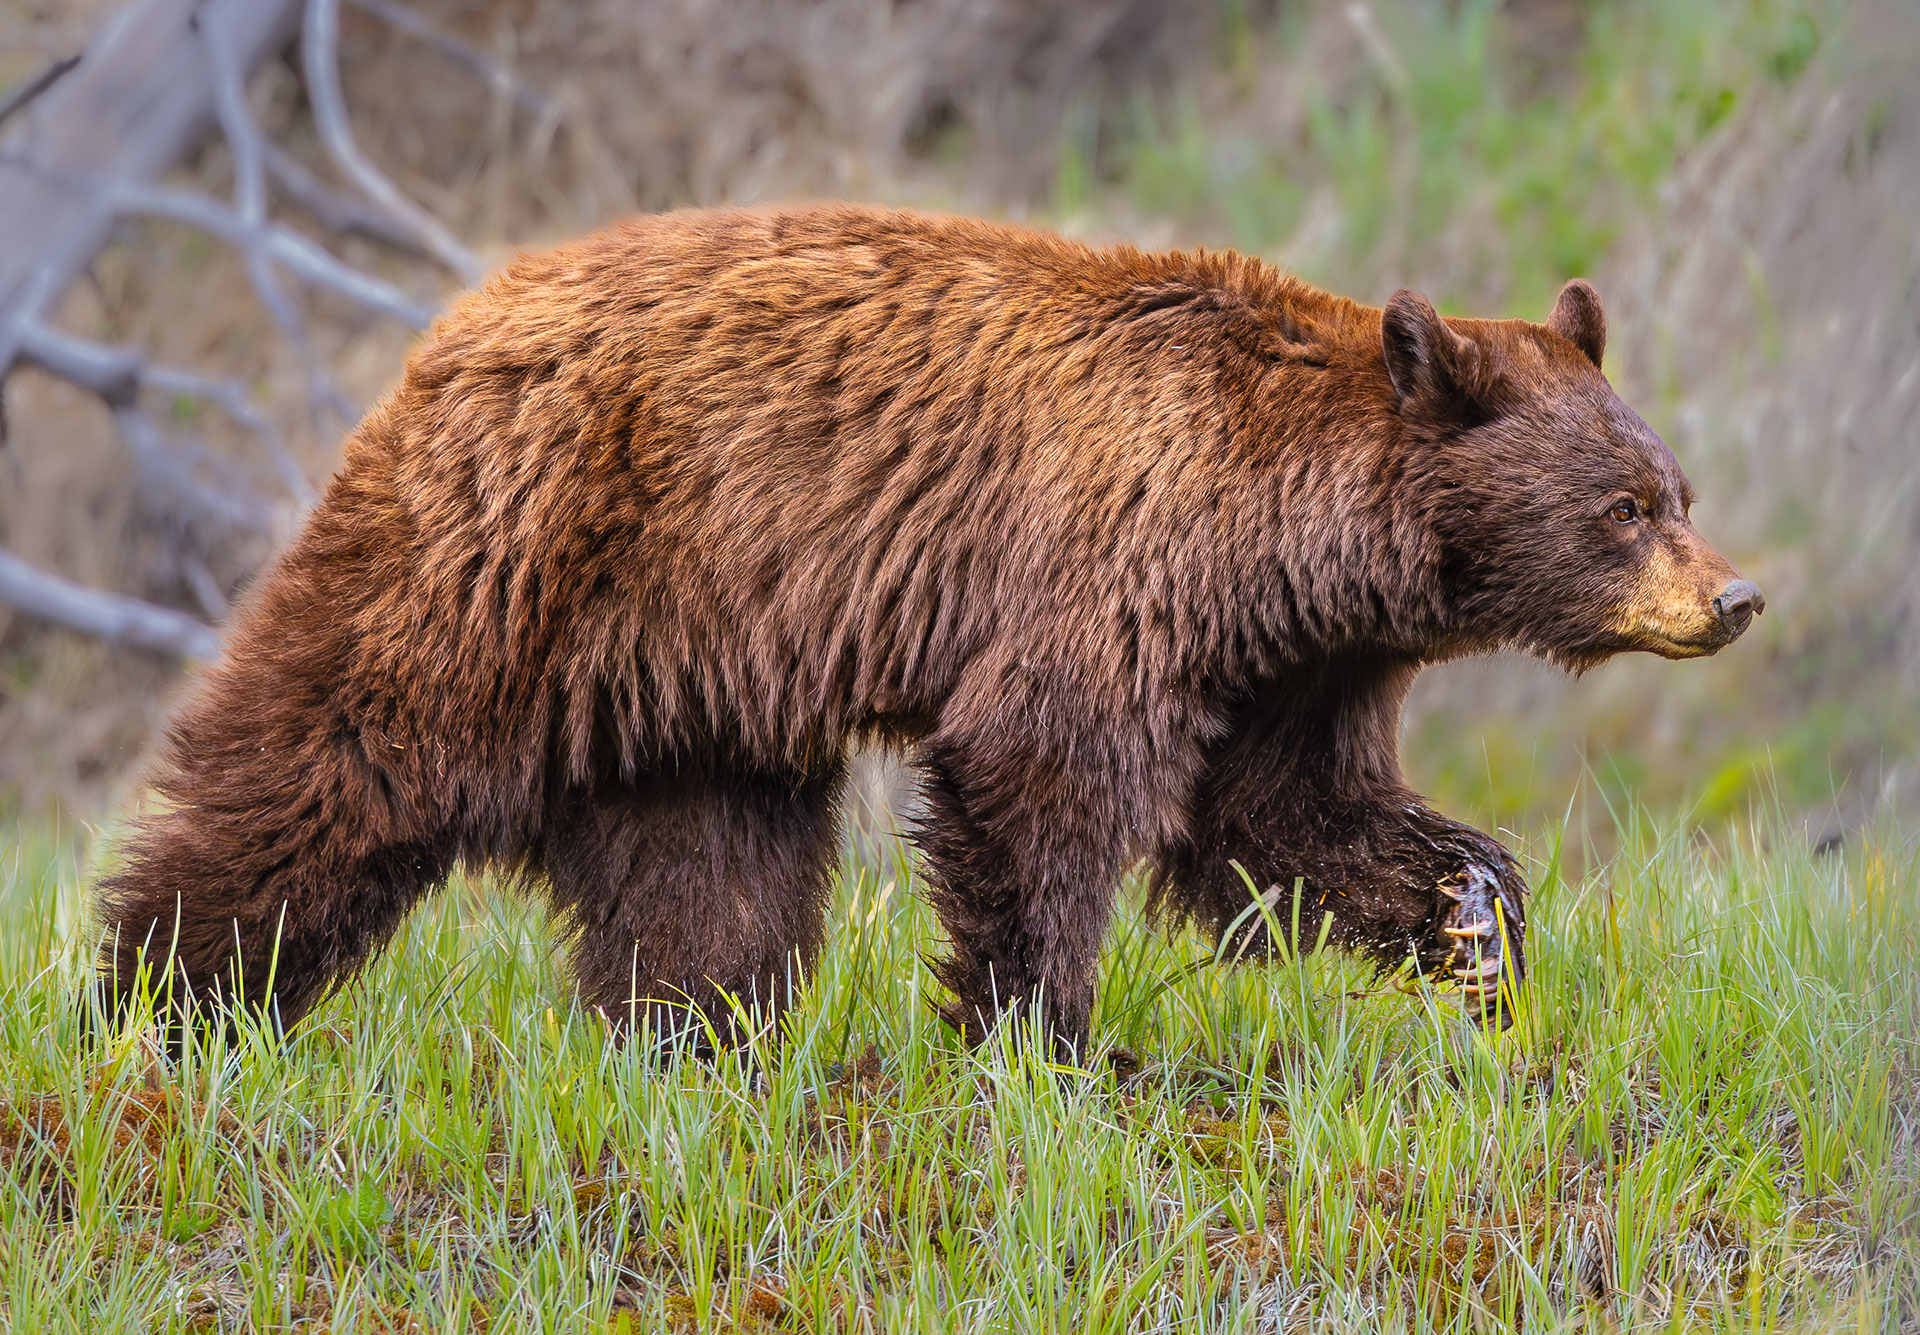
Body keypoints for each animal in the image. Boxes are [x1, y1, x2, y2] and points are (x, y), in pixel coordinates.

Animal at [92, 203, 1762, 1058]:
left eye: (1677, 488)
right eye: (1626, 506)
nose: (1732, 595)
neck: (1288, 537)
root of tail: (462, 314)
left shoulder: (1291, 661)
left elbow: (1287, 814)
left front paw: (1474, 916)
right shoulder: (1110, 557)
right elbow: (1041, 776)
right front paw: (1043, 1040)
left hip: (695, 666)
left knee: (706, 870)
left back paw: (692, 1043)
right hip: (518, 547)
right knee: (340, 756)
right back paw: (162, 994)